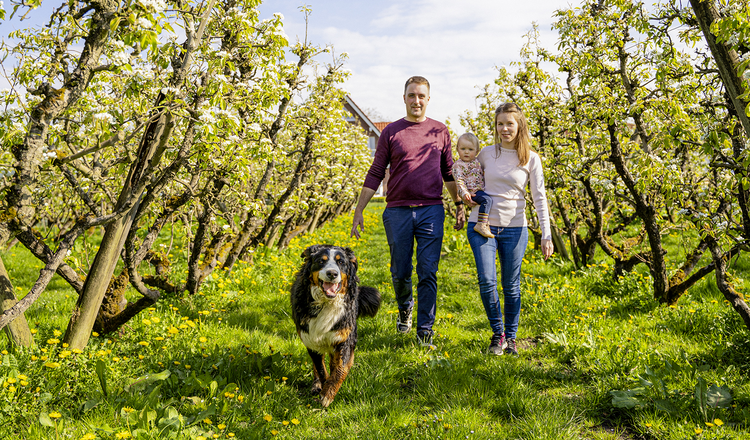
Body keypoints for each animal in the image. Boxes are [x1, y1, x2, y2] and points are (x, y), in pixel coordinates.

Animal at [290, 244, 378, 406]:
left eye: (341, 262)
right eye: (321, 261)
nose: (332, 273)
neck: (327, 303)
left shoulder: (345, 338)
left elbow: (340, 369)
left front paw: (328, 394)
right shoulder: (311, 339)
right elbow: (320, 368)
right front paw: (323, 387)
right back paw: (316, 384)